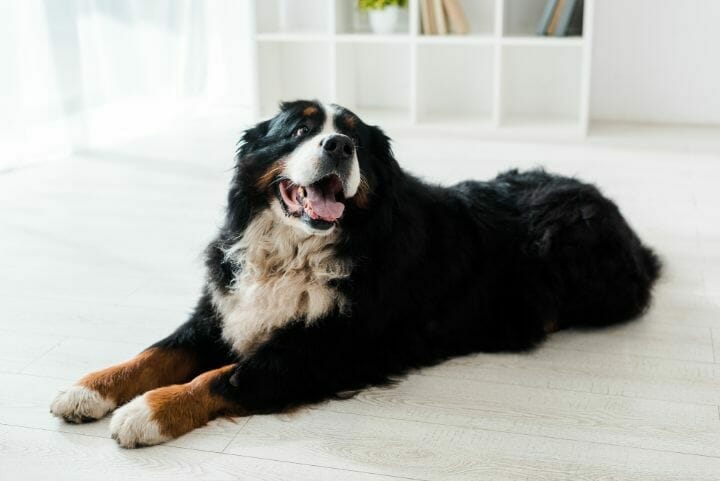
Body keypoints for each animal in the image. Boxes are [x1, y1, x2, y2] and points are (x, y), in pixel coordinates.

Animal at [47, 98, 660, 446]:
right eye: (298, 130)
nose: (339, 145)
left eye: (357, 138)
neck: (295, 249)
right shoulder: (222, 310)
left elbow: (222, 377)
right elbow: (154, 354)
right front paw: (88, 389)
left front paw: (146, 412)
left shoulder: (325, 350)